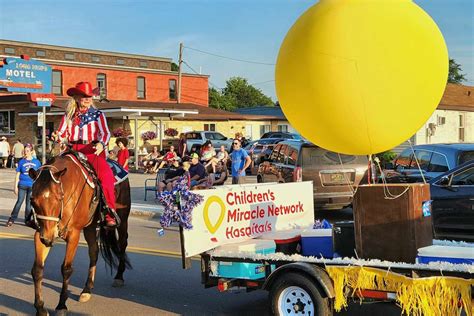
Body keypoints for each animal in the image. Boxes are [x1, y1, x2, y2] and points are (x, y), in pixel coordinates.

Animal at [27, 154, 131, 314]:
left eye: (59, 197)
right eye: (32, 200)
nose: (48, 239)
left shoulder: (73, 235)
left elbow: (66, 269)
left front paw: (61, 305)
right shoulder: (41, 233)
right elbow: (37, 270)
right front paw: (40, 308)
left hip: (123, 218)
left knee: (122, 244)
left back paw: (119, 276)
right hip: (90, 227)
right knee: (94, 252)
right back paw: (87, 289)